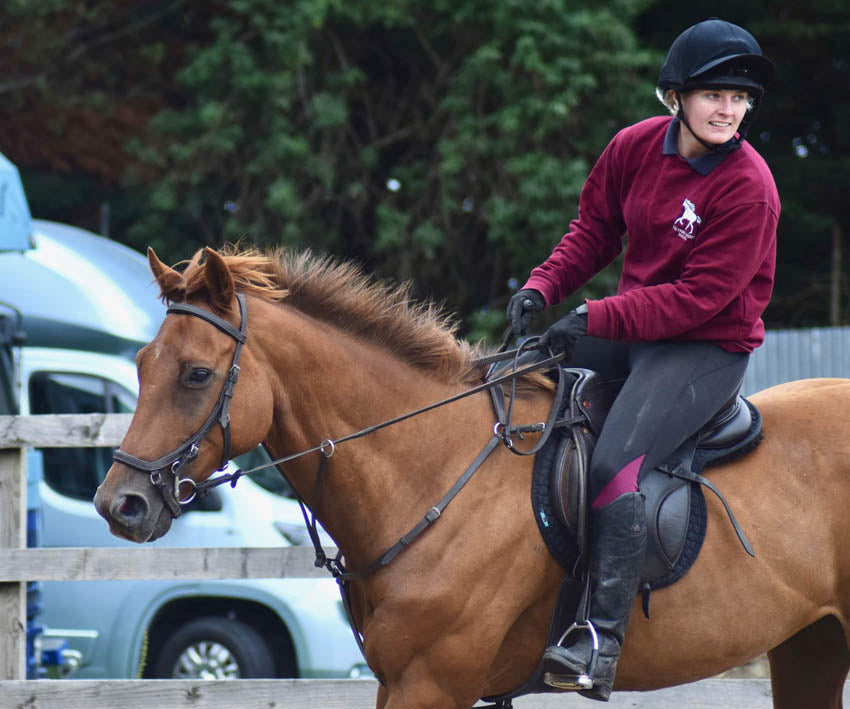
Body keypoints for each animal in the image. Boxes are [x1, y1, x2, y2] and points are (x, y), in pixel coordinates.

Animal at [95, 245, 850, 709]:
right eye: (141, 365)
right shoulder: (399, 681)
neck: (426, 468)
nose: (119, 504)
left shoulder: (432, 683)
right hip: (811, 644)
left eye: (197, 375)